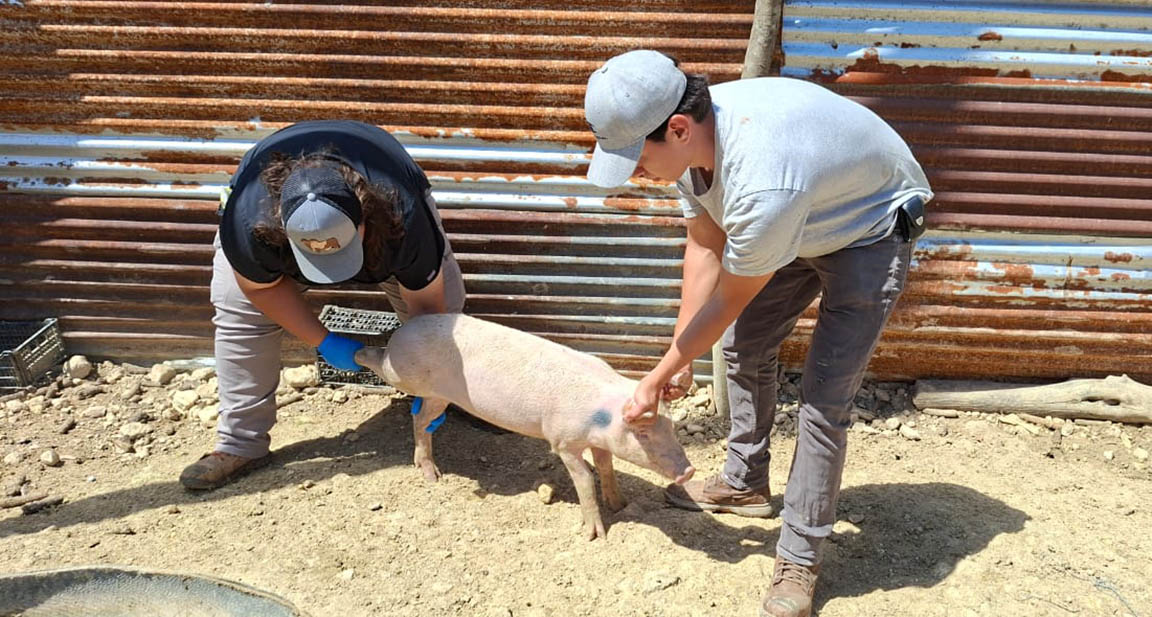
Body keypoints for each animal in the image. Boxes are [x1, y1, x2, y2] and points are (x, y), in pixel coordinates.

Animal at [354, 313, 695, 540]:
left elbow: (606, 468)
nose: (689, 471)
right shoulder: (562, 441)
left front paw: (621, 505)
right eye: (643, 433)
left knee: (421, 420)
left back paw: (430, 473)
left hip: (438, 396)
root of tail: (405, 328)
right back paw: (358, 351)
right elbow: (585, 478)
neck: (600, 417)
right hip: (401, 372)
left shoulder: (599, 442)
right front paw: (593, 535)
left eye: (672, 428)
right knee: (384, 367)